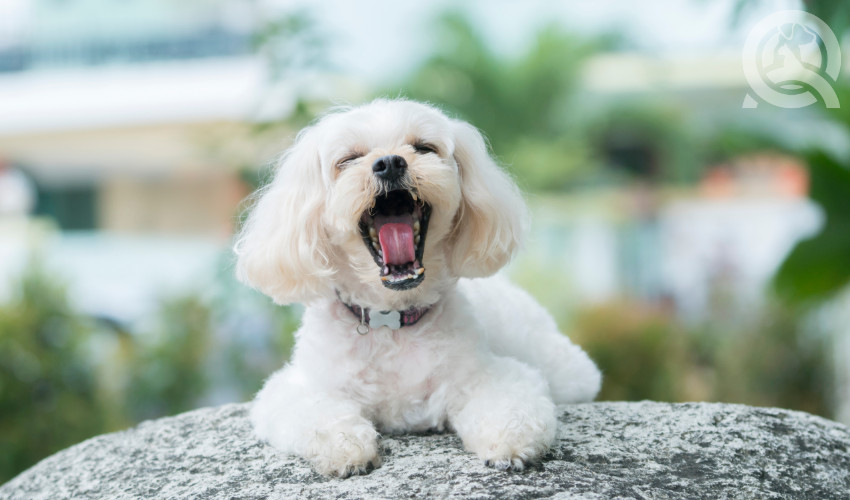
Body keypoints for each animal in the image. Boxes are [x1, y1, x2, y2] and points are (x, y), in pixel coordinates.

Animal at [235, 97, 600, 476]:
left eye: (424, 147)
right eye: (348, 159)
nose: (389, 163)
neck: (392, 322)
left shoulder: (490, 374)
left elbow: (510, 405)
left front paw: (510, 443)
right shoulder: (298, 388)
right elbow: (320, 414)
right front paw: (346, 447)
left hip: (565, 370)